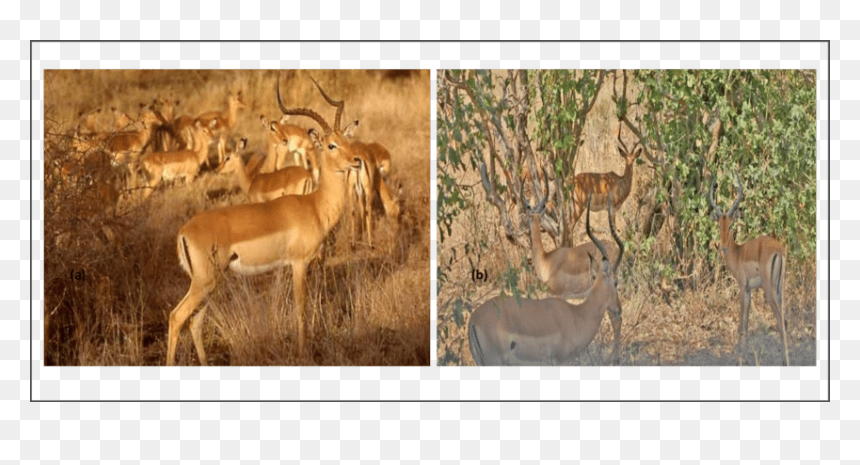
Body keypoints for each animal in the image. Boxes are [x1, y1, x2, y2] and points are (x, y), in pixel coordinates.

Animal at [165, 77, 363, 366]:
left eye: (347, 139)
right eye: (331, 145)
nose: (356, 160)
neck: (314, 206)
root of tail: (184, 231)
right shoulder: (299, 263)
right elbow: (300, 308)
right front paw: (303, 353)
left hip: (208, 283)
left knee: (195, 322)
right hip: (204, 282)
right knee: (176, 317)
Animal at [709, 174, 789, 366]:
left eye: (731, 225)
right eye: (719, 225)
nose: (723, 247)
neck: (738, 254)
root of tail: (779, 249)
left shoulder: (742, 288)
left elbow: (741, 324)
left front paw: (739, 358)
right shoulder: (750, 290)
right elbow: (746, 324)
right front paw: (743, 357)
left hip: (769, 290)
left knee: (780, 321)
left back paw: (785, 361)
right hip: (780, 289)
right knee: (784, 319)